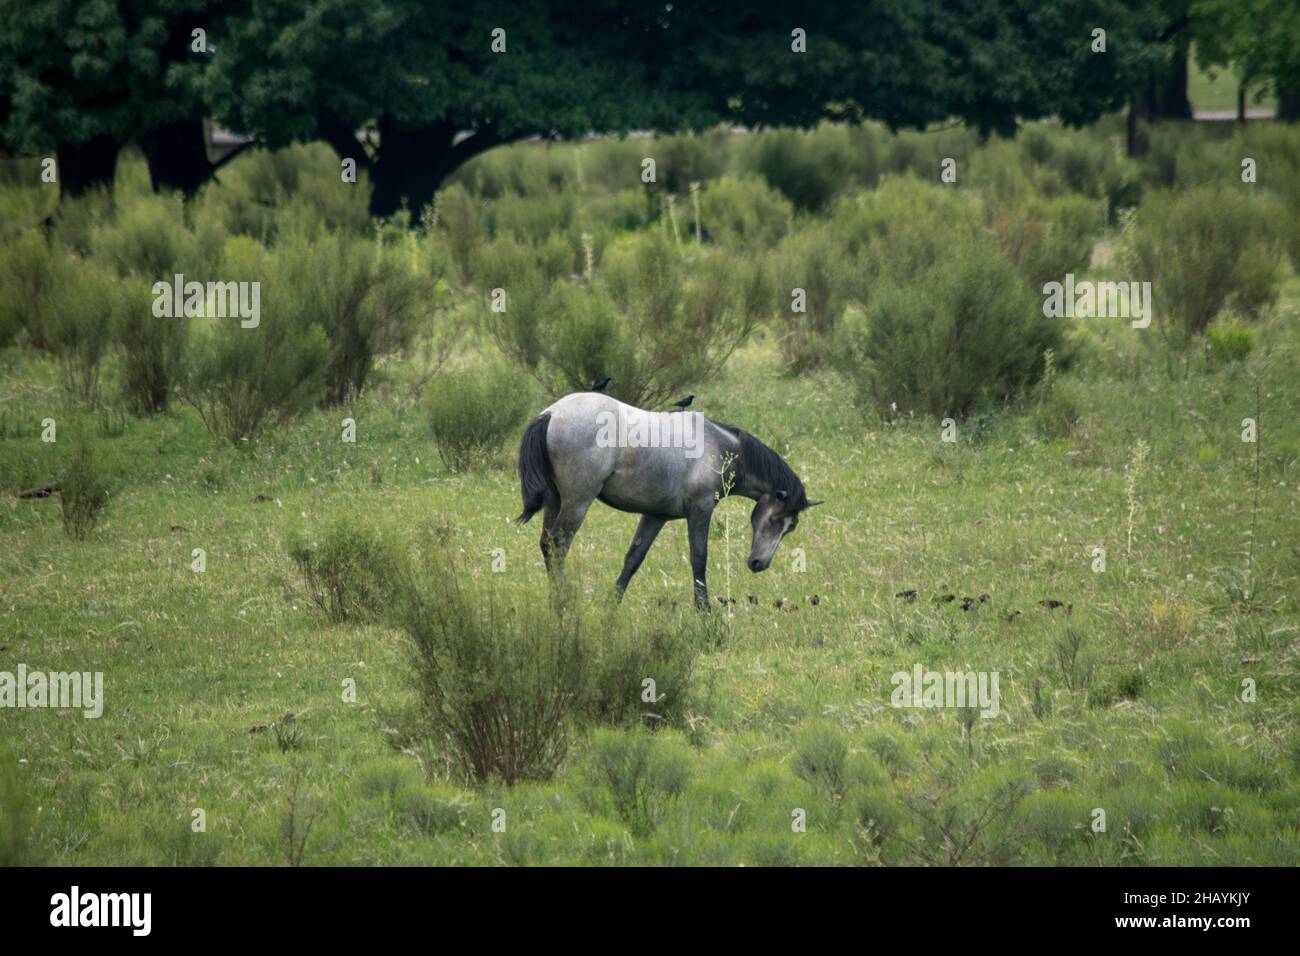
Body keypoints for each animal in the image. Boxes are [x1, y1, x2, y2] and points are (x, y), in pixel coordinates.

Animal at [516, 392, 822, 609]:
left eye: (790, 528)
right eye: (774, 520)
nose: (759, 563)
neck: (718, 445)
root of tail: (551, 413)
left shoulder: (655, 516)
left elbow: (633, 559)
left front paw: (611, 607)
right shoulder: (701, 510)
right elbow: (699, 558)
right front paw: (704, 611)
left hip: (556, 502)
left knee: (547, 545)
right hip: (576, 503)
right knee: (558, 546)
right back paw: (561, 605)